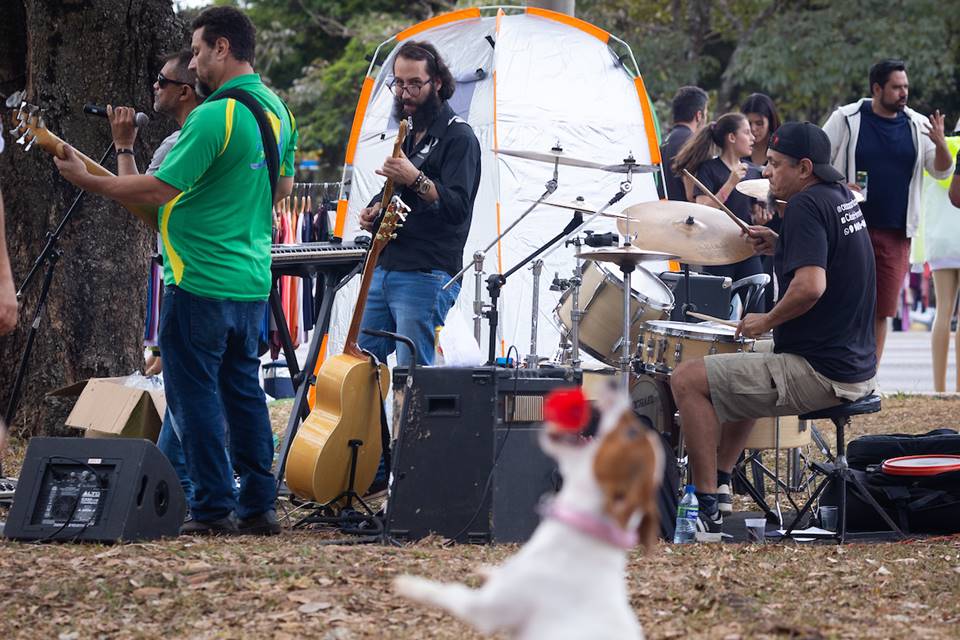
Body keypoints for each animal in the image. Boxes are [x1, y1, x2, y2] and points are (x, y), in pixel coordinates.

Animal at [394, 390, 664, 640]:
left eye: (631, 432)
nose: (612, 385)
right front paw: (486, 570)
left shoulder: (484, 610)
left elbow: (447, 592)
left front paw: (409, 585)